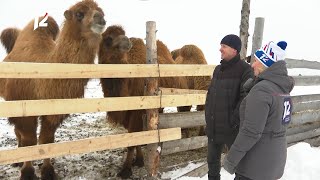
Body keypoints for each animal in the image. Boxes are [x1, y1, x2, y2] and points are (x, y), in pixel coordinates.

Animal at [1, 0, 105, 179]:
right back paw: (18, 160)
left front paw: (48, 171)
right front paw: (27, 173)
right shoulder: (23, 107)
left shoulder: (53, 111)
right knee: (18, 132)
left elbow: (46, 139)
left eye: (101, 11)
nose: (101, 19)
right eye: (79, 14)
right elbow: (29, 140)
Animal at [99, 25, 189, 179]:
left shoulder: (137, 111)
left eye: (123, 34)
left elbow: (133, 140)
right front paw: (139, 160)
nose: (127, 42)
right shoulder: (128, 115)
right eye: (108, 39)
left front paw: (126, 170)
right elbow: (137, 138)